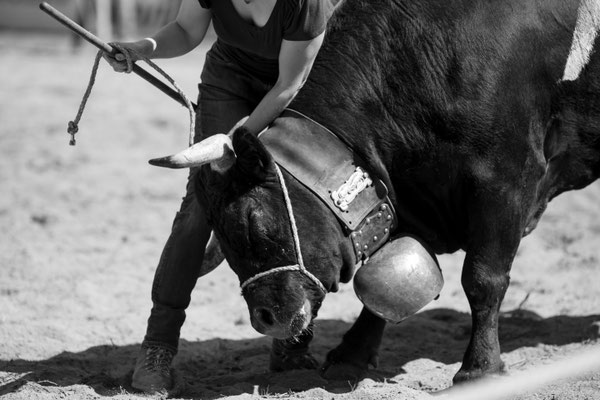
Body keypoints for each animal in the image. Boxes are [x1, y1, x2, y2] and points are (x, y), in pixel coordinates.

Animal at [151, 0, 600, 382]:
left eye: (252, 221)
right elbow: (382, 281)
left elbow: (483, 279)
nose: (264, 318)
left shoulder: (507, 178)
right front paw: (351, 355)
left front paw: (479, 369)